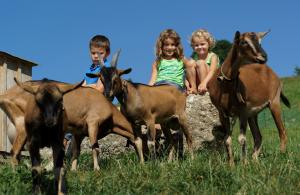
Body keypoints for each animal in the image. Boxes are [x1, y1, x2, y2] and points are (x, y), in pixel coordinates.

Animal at [207, 31, 290, 165]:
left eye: (260, 41)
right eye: (244, 42)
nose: (263, 56)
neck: (224, 86)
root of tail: (273, 74)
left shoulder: (243, 112)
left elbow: (241, 138)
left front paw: (244, 164)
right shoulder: (222, 113)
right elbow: (227, 139)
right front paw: (231, 165)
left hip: (274, 102)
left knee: (282, 132)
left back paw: (281, 155)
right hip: (253, 114)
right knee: (258, 136)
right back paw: (254, 159)